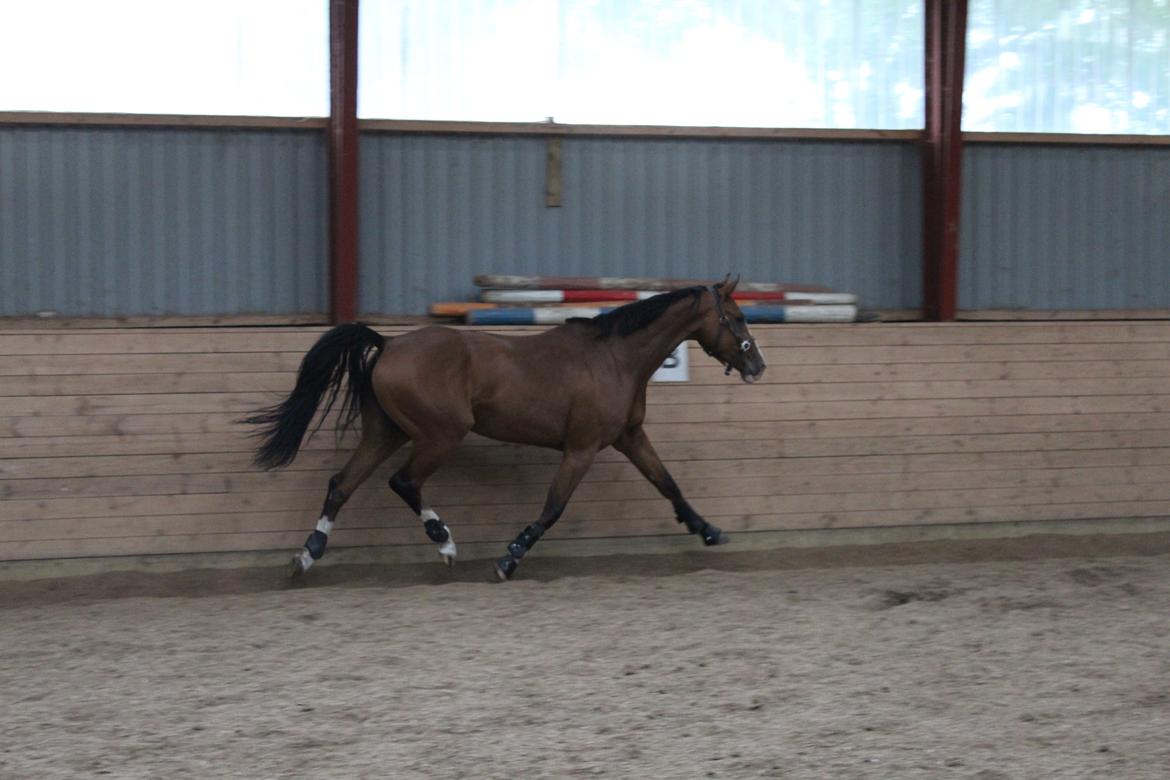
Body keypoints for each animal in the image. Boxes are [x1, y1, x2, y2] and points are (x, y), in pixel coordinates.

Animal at [242, 277, 762, 582]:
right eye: (737, 318)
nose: (757, 365)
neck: (614, 358)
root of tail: (387, 344)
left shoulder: (629, 437)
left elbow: (667, 483)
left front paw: (708, 531)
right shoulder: (582, 448)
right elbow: (553, 507)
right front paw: (509, 557)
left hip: (385, 433)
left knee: (342, 484)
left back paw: (308, 554)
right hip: (440, 435)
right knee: (403, 482)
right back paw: (445, 542)